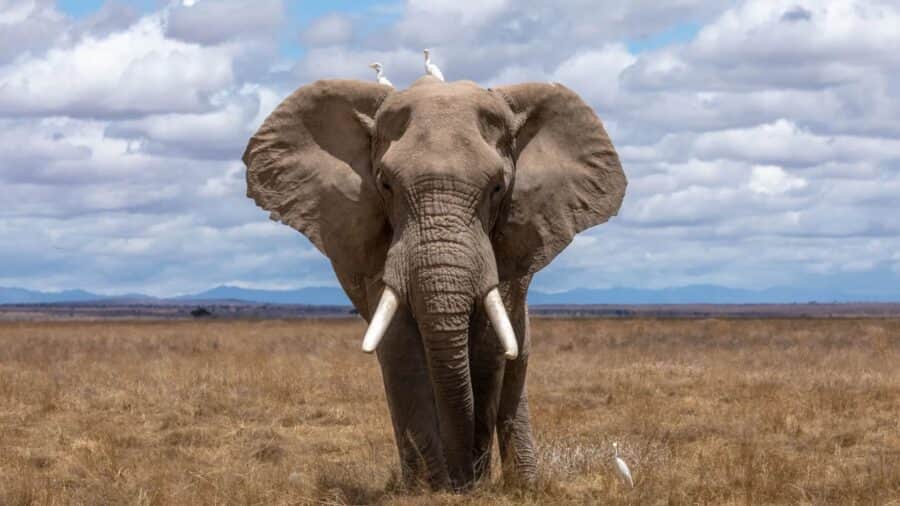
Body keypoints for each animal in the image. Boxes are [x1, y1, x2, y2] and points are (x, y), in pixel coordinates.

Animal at [242, 76, 626, 491]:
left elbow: (490, 348)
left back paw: (523, 485)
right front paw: (431, 489)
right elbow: (400, 348)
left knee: (515, 360)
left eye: (497, 187)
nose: (464, 480)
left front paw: (471, 484)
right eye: (386, 185)